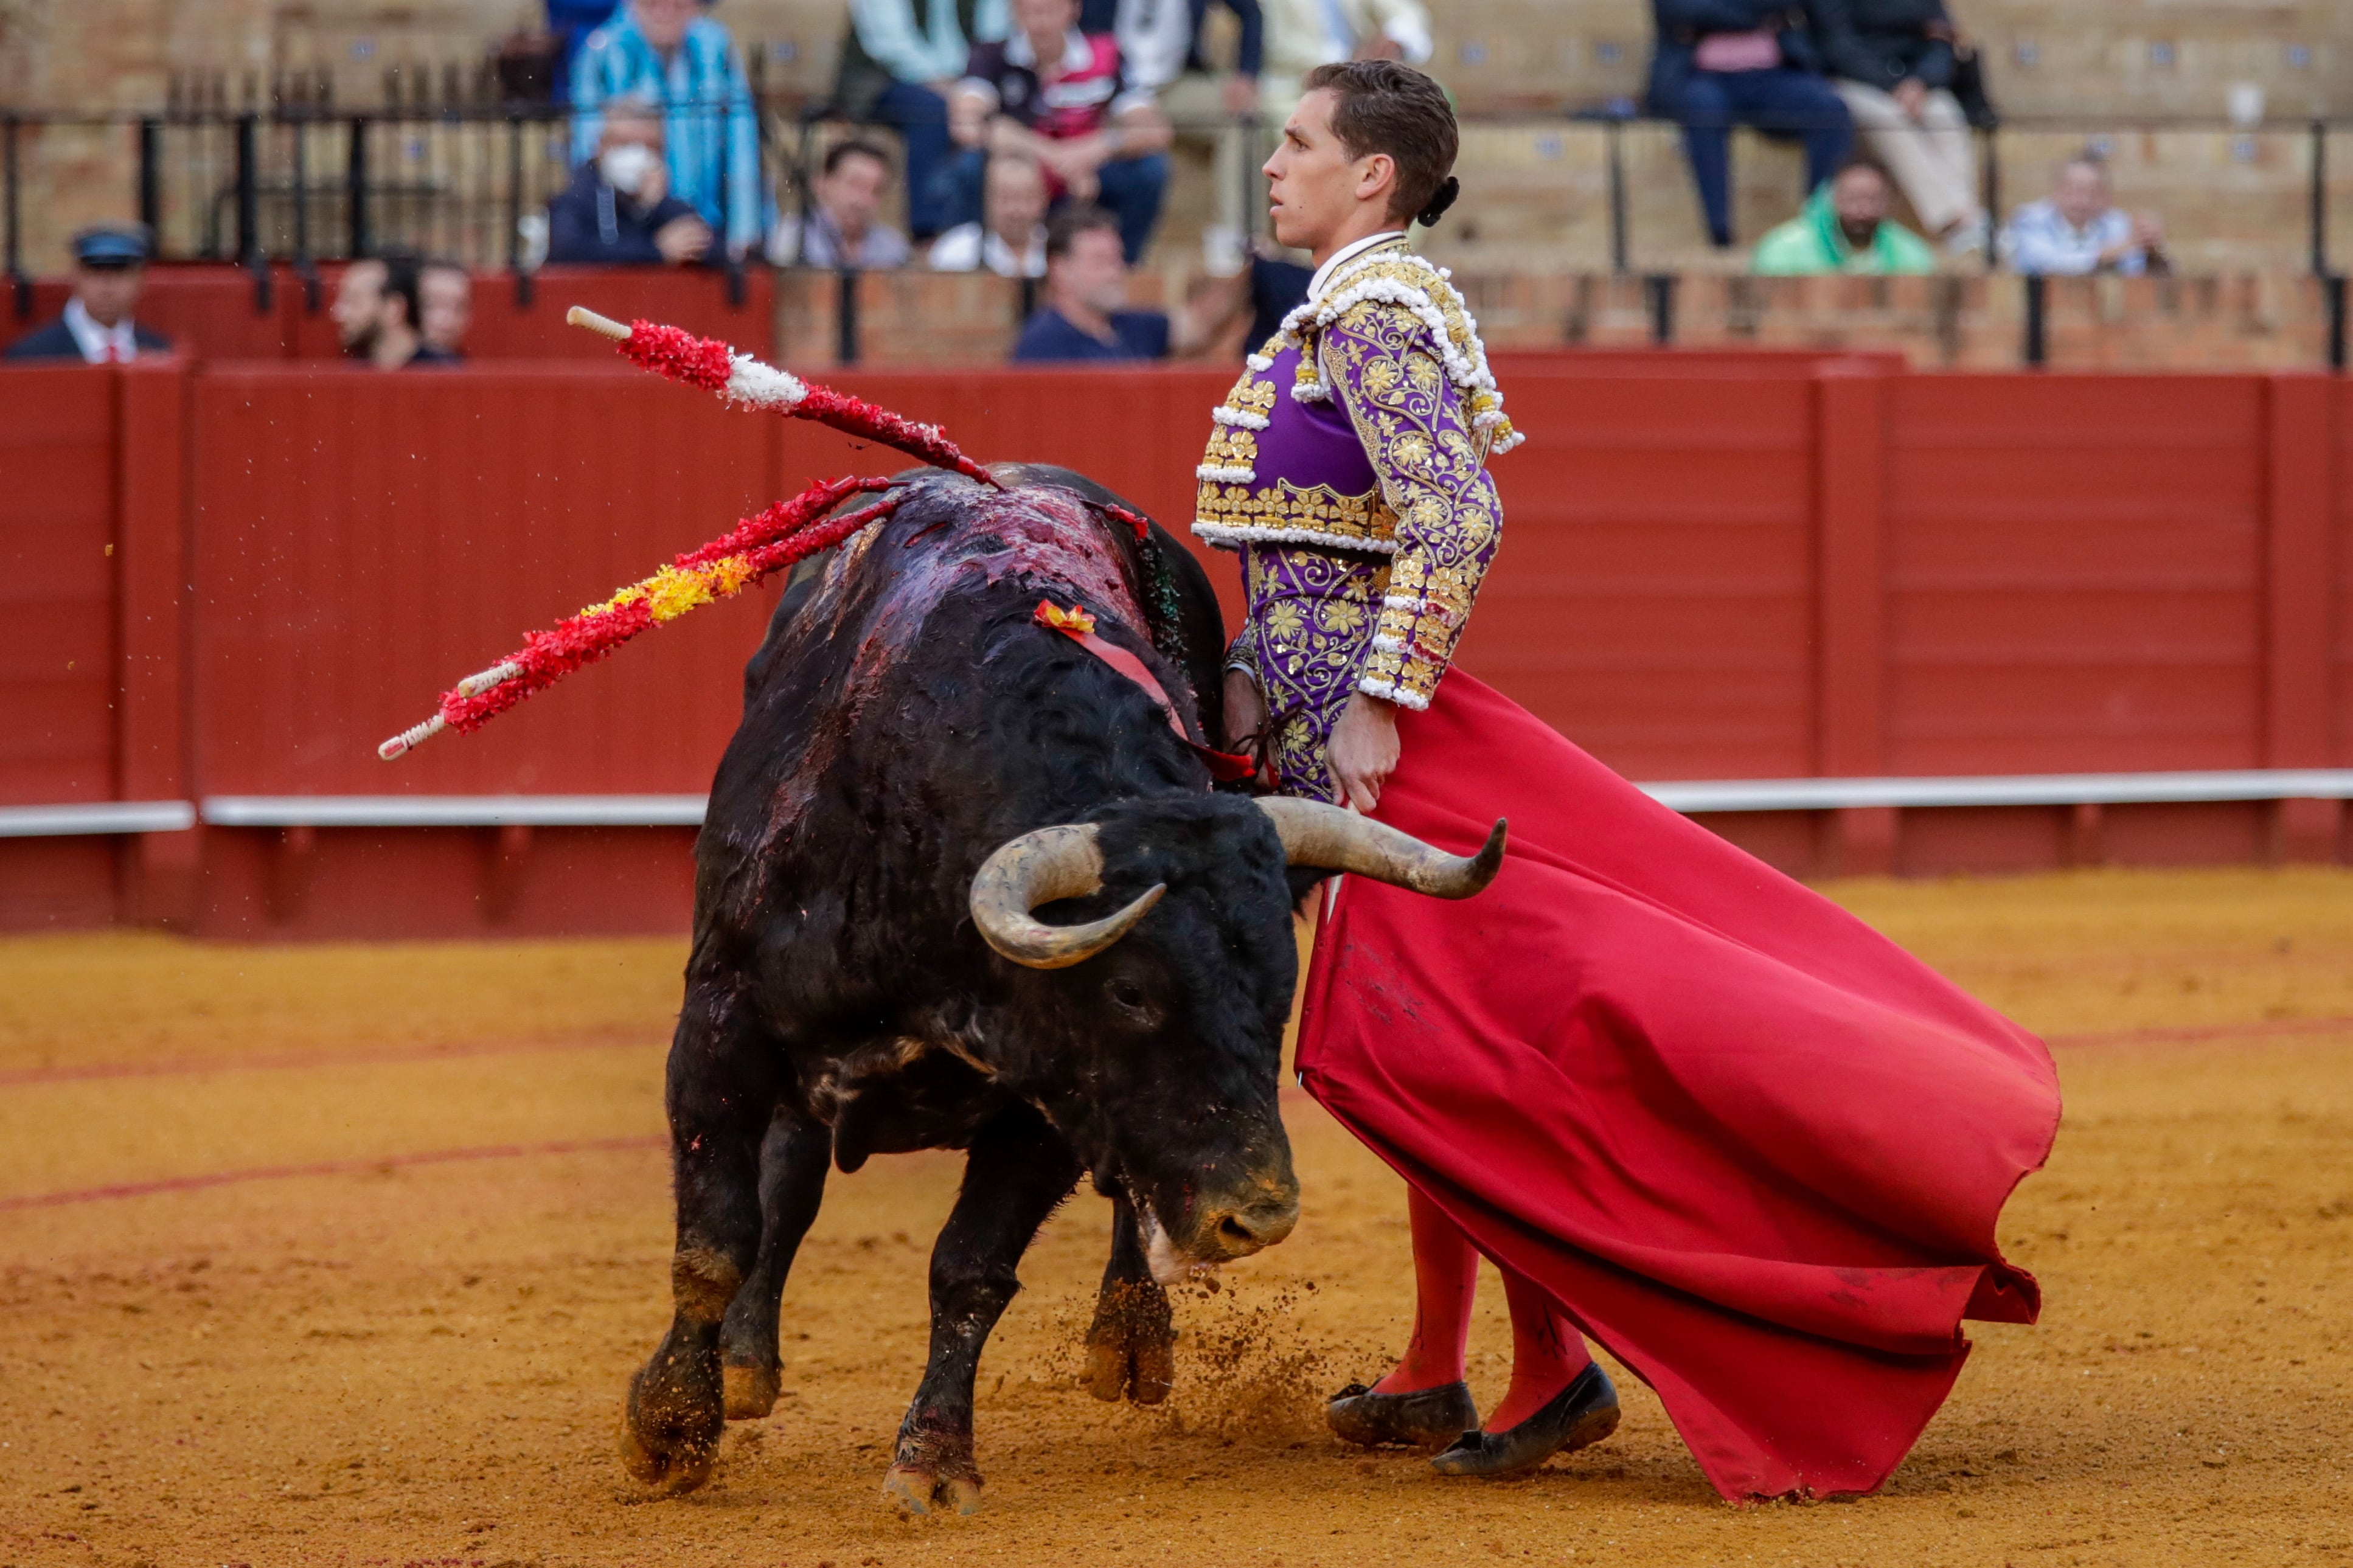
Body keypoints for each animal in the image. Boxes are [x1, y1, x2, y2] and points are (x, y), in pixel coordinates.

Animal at [621, 461, 1506, 1507]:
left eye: (1278, 988)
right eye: (1131, 992)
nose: (1259, 1211)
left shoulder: (1052, 1093)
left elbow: (971, 1269)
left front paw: (933, 1460)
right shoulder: (720, 1024)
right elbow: (714, 1240)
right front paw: (671, 1427)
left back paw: (1130, 1338)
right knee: (788, 1179)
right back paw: (748, 1359)